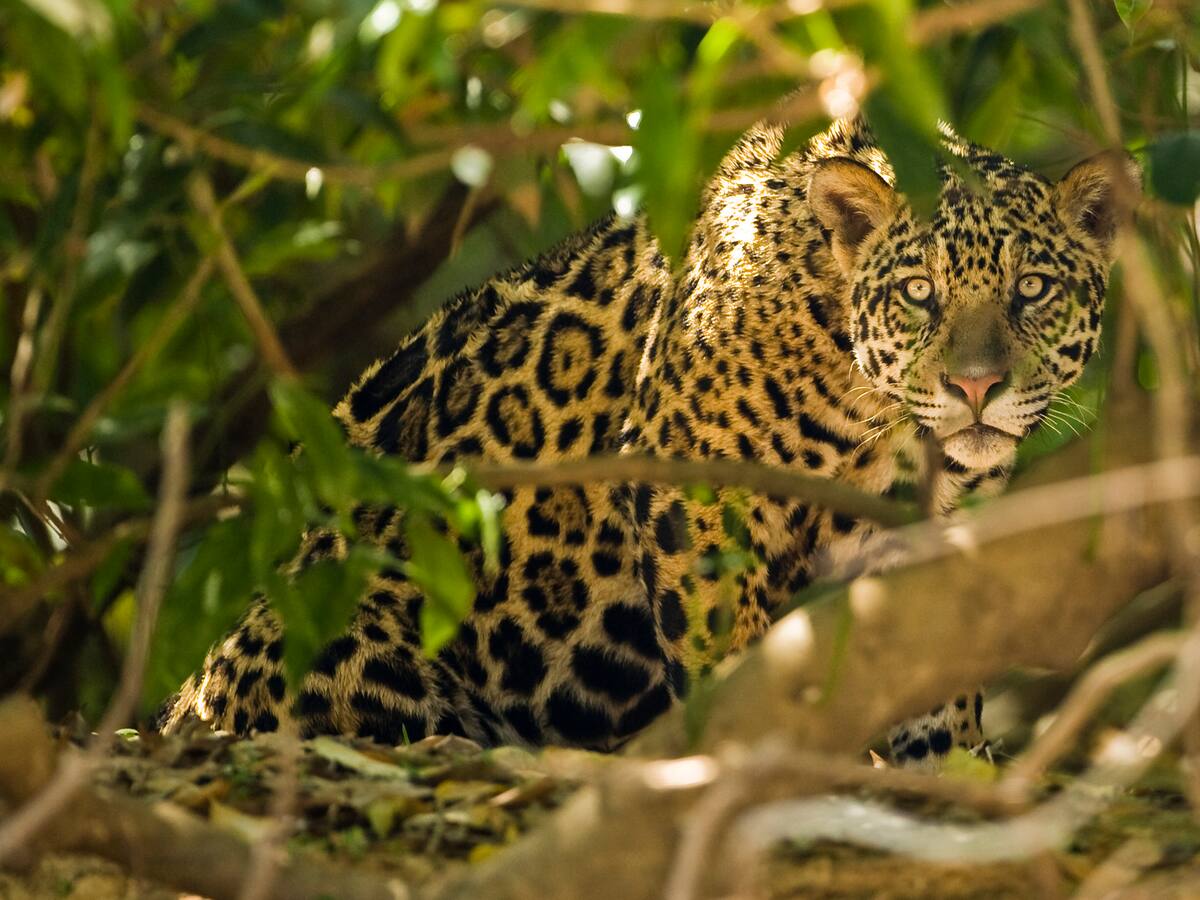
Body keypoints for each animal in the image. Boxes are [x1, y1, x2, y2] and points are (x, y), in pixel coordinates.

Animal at [159, 116, 1134, 768]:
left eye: (1034, 288)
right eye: (921, 293)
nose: (976, 389)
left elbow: (937, 671)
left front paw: (947, 768)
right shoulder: (697, 487)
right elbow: (731, 653)